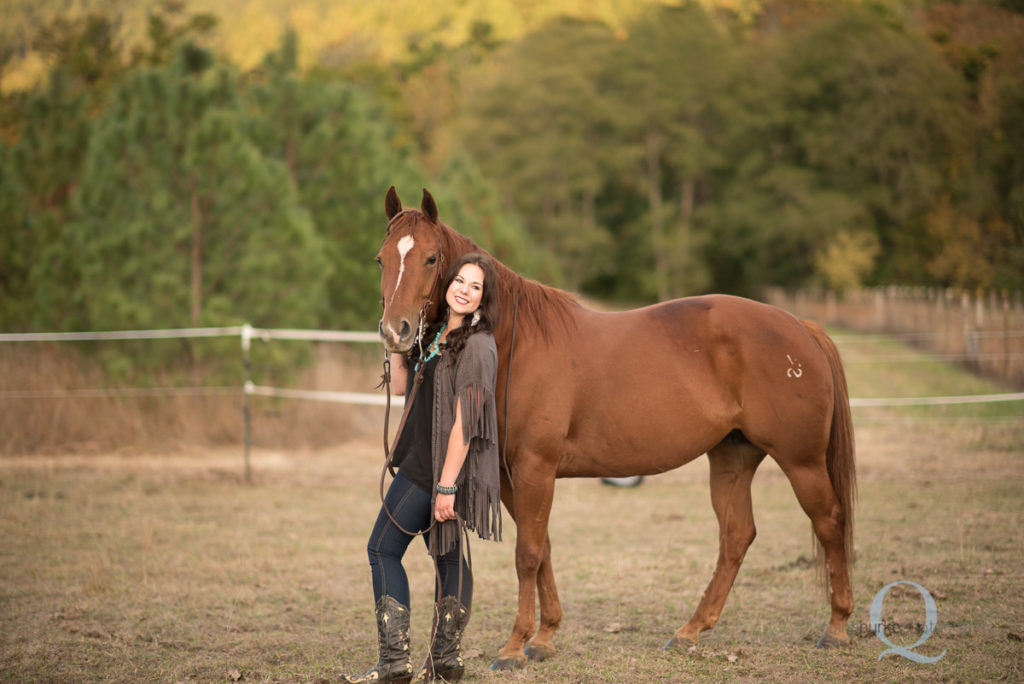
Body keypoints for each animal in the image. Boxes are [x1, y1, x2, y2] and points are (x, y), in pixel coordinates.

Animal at [376, 185, 856, 667]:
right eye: (382, 259)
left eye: (431, 258)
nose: (396, 331)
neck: (514, 342)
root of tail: (801, 327)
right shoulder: (514, 476)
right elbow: (542, 548)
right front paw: (545, 637)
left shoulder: (535, 469)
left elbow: (527, 553)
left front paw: (514, 646)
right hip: (732, 457)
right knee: (737, 535)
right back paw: (691, 630)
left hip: (801, 461)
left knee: (829, 522)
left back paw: (836, 627)